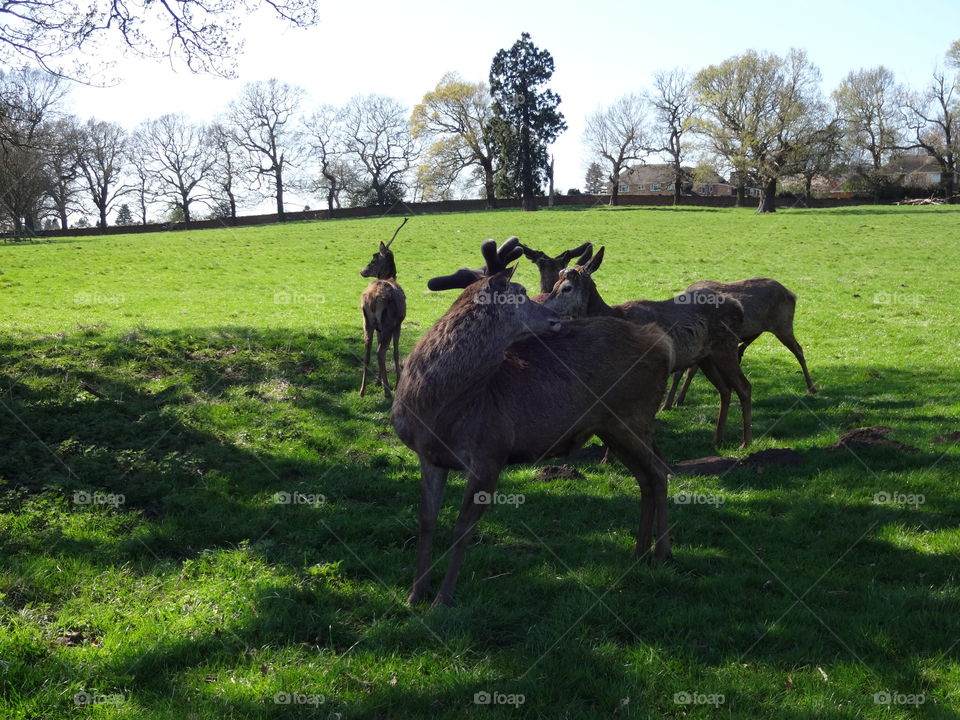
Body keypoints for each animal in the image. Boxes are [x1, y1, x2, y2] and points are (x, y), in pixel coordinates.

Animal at [358, 219, 406, 400]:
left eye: (373, 260)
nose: (362, 271)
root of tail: (372, 298)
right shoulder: (398, 323)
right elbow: (396, 352)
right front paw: (397, 382)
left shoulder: (379, 328)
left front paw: (378, 381)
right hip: (387, 322)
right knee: (380, 351)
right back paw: (387, 392)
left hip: (367, 322)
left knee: (367, 351)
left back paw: (362, 390)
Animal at [390, 238, 676, 608]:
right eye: (522, 292)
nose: (556, 317)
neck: (437, 409)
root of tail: (661, 342)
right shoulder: (429, 456)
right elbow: (426, 520)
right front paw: (415, 594)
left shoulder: (491, 452)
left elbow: (463, 527)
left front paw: (443, 598)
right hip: (610, 427)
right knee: (645, 477)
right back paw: (639, 551)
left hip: (633, 415)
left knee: (658, 471)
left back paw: (661, 554)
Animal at [544, 248, 752, 450]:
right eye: (554, 285)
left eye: (567, 288)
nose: (544, 309)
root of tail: (738, 307)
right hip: (705, 357)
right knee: (725, 389)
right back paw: (717, 439)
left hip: (726, 346)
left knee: (744, 387)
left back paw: (745, 443)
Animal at [660, 278, 816, 408]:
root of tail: (792, 294)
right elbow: (688, 372)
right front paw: (677, 401)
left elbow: (681, 372)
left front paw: (668, 404)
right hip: (762, 328)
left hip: (783, 326)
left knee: (799, 350)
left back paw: (811, 388)